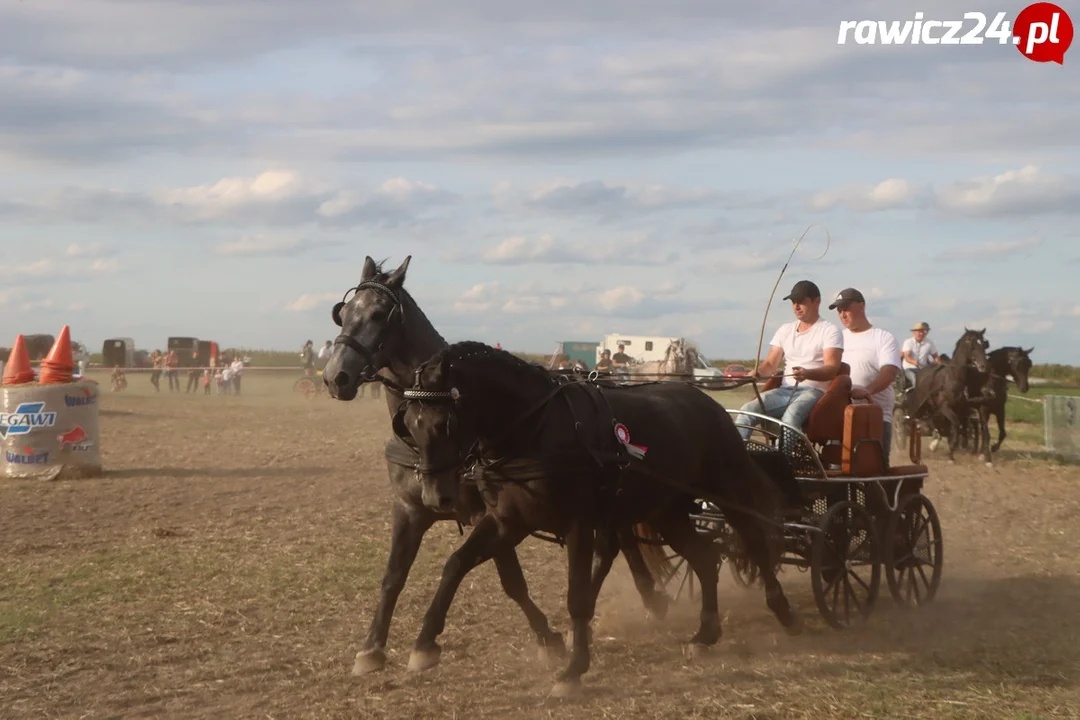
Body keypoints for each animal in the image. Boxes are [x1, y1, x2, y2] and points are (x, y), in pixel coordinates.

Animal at [315, 257, 665, 677]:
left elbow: (507, 580)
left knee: (620, 542)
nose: (336, 377)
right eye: (344, 313)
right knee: (618, 541)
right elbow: (393, 576)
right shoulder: (410, 509)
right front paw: (372, 648)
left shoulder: (490, 512)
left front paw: (547, 640)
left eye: (381, 314)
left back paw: (649, 602)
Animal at [393, 343, 799, 699]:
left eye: (444, 423)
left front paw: (573, 671)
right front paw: (424, 645)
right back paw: (705, 635)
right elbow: (456, 564)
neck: (535, 429)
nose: (435, 497)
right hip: (666, 510)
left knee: (754, 540)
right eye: (408, 424)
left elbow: (577, 597)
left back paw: (783, 612)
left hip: (726, 490)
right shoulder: (508, 522)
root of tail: (708, 403)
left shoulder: (578, 525)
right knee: (704, 556)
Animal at [907, 330, 989, 464]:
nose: (984, 366)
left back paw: (934, 442)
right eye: (972, 346)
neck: (954, 378)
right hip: (921, 406)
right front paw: (950, 454)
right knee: (914, 420)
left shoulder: (961, 409)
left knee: (932, 420)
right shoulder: (945, 406)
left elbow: (959, 428)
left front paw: (952, 452)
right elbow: (956, 425)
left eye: (984, 345)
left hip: (933, 407)